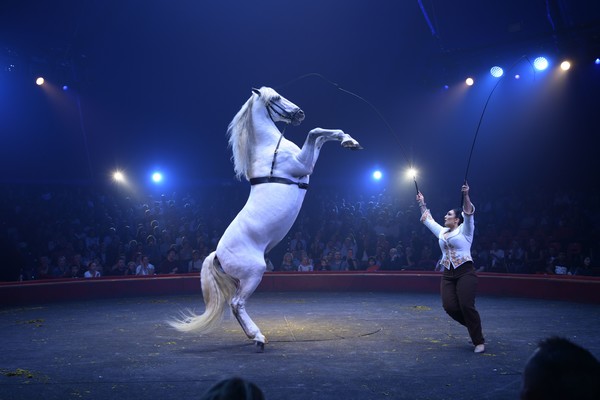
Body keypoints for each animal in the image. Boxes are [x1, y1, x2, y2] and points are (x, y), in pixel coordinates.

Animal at [171, 86, 364, 350]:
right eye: (276, 98)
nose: (300, 113)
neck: (270, 148)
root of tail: (217, 255)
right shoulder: (302, 166)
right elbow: (315, 133)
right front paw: (347, 139)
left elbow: (322, 136)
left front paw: (350, 141)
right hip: (254, 274)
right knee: (236, 304)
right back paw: (258, 338)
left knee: (235, 305)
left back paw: (254, 336)